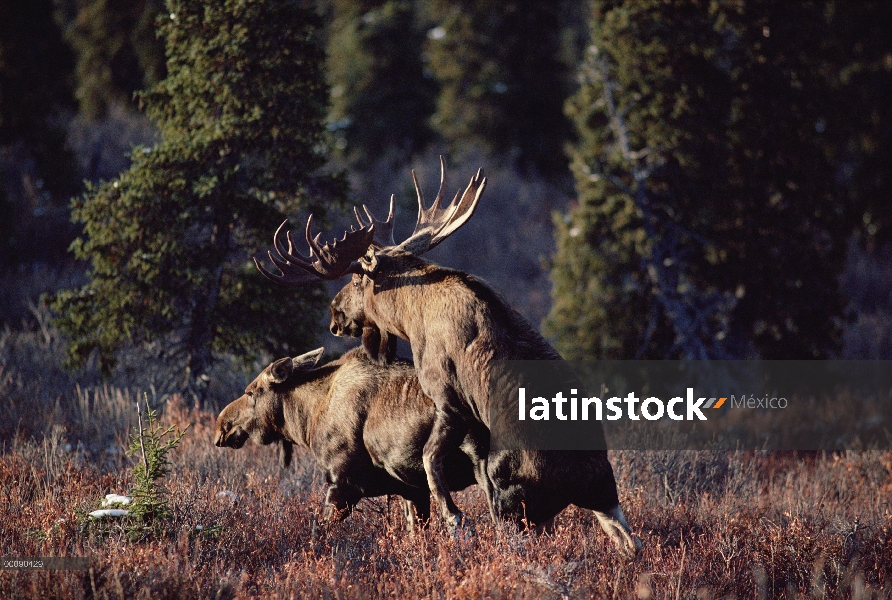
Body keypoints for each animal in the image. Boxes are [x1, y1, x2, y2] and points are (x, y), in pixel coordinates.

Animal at [256, 158, 640, 552]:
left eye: (358, 281)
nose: (335, 316)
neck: (409, 320)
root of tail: (577, 480)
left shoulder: (448, 398)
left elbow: (428, 462)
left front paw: (456, 520)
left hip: (514, 498)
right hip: (605, 495)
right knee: (629, 539)